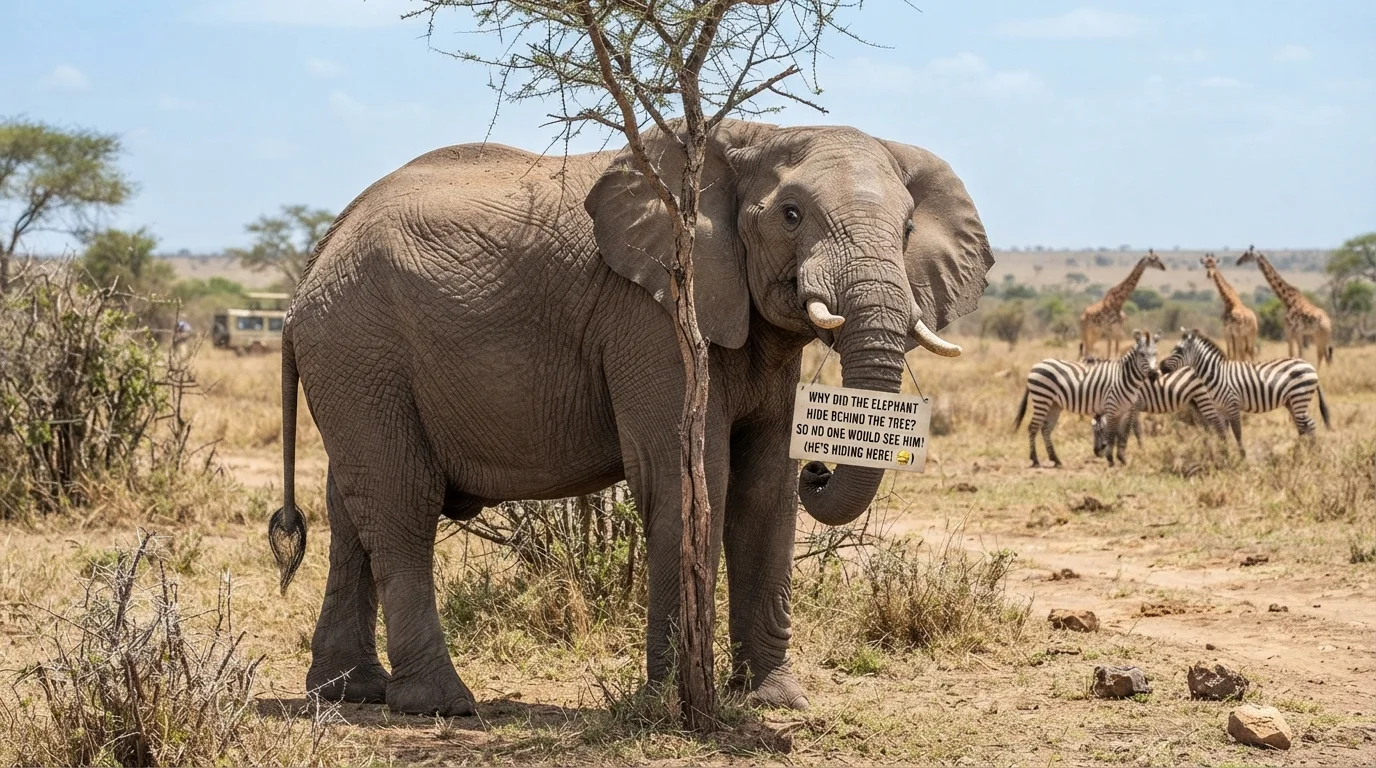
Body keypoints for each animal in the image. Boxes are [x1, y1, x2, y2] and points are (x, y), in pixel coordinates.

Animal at [268, 119, 993, 717]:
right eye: (791, 215)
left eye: (907, 231)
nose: (820, 468)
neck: (755, 134)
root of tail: (309, 271)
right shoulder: (652, 314)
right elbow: (690, 479)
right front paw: (671, 706)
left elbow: (763, 492)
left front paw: (777, 701)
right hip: (361, 345)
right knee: (402, 505)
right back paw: (441, 704)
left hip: (357, 364)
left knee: (350, 510)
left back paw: (350, 692)